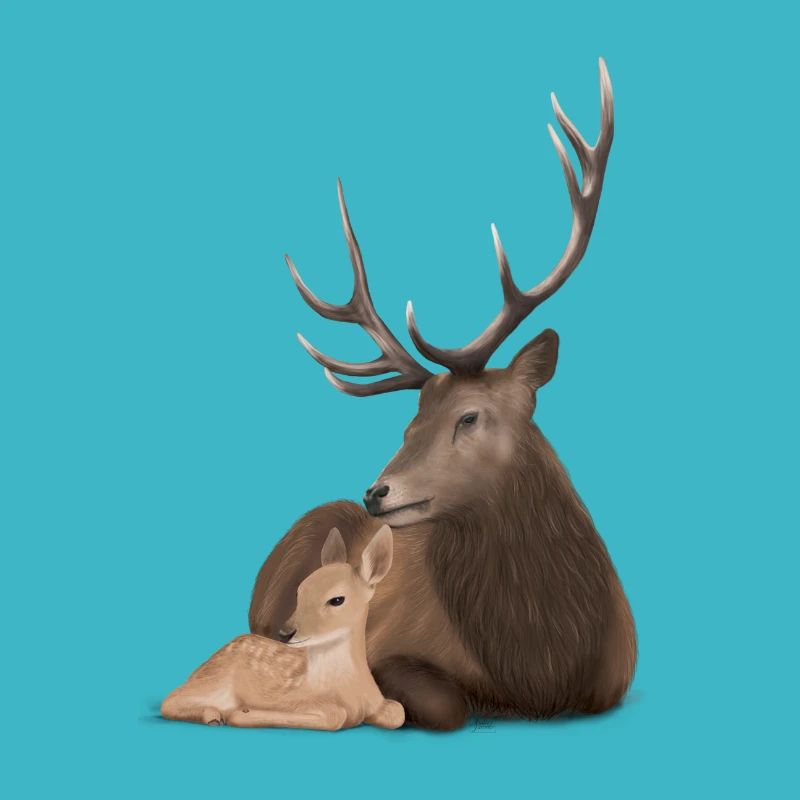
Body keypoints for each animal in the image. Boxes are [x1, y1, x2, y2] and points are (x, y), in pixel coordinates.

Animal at [163, 525, 404, 730]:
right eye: (299, 592)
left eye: (337, 600)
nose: (285, 632)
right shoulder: (289, 698)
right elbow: (336, 715)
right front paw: (243, 713)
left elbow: (398, 711)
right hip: (216, 681)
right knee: (169, 700)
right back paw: (213, 715)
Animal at [250, 58, 637, 730]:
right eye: (409, 423)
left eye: (469, 417)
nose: (376, 492)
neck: (541, 668)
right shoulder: (386, 646)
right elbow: (444, 704)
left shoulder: (618, 676)